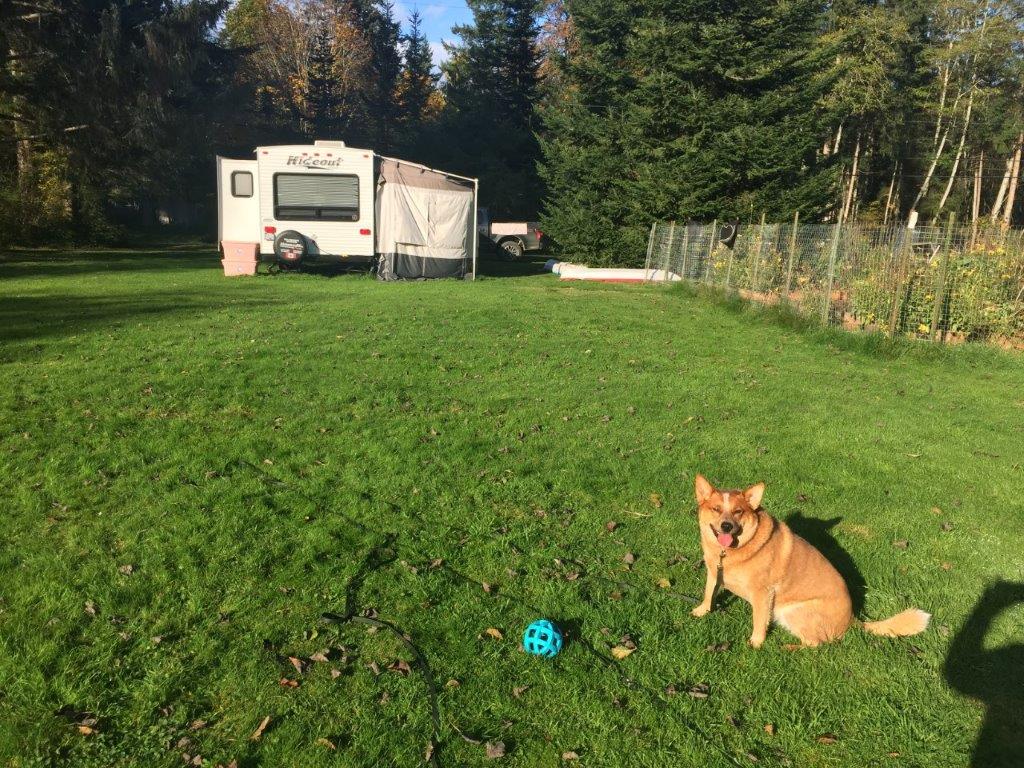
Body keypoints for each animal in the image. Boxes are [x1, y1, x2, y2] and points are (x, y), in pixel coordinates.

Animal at [692, 475, 933, 651]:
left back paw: (787, 648)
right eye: (715, 509)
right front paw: (702, 611)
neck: (729, 552)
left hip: (792, 611)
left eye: (738, 511)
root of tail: (852, 620)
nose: (726, 526)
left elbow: (759, 621)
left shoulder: (763, 593)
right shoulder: (714, 572)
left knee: (814, 644)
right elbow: (708, 593)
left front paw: (755, 644)